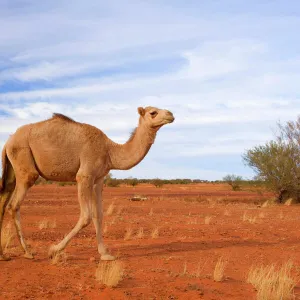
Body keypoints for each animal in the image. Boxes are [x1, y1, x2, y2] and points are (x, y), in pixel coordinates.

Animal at [0, 107, 175, 260]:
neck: (110, 151)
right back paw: (28, 252)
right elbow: (86, 217)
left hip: (12, 169)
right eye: (153, 112)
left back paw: (3, 255)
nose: (171, 114)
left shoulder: (98, 180)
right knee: (14, 204)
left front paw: (105, 254)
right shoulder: (84, 176)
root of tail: (8, 141)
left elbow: (99, 215)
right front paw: (54, 250)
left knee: (4, 199)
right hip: (25, 164)